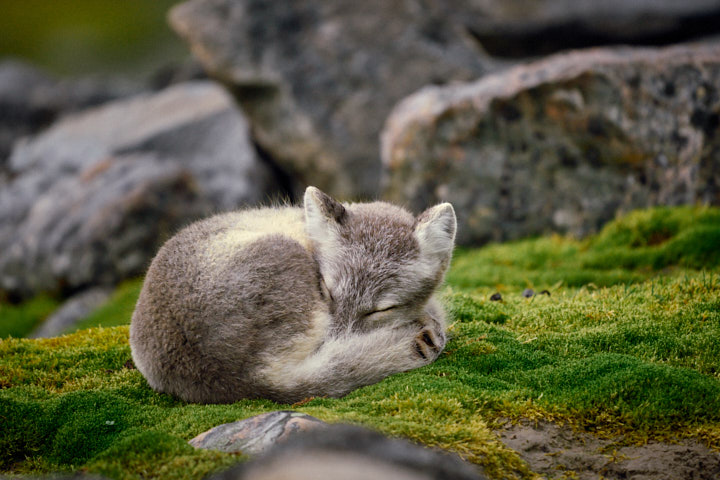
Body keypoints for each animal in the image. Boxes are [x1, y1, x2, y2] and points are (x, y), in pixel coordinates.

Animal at [129, 186, 456, 404]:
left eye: (379, 310)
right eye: (327, 291)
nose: (334, 344)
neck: (303, 226)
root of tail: (234, 380)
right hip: (285, 254)